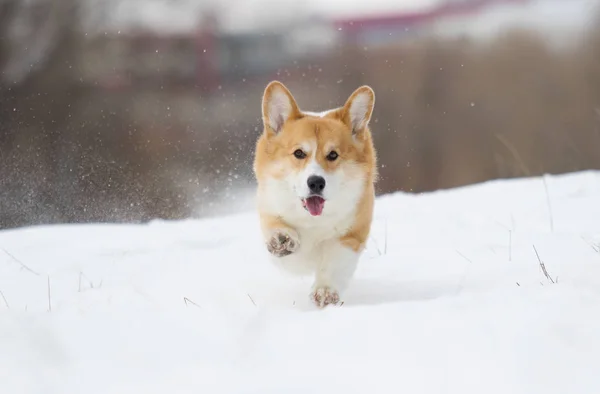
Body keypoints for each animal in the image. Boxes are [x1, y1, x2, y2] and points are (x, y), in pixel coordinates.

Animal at [254, 81, 378, 308]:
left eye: (333, 155)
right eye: (299, 153)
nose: (316, 183)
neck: (313, 219)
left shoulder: (352, 235)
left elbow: (334, 261)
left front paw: (325, 291)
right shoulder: (270, 211)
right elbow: (280, 233)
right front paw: (282, 239)